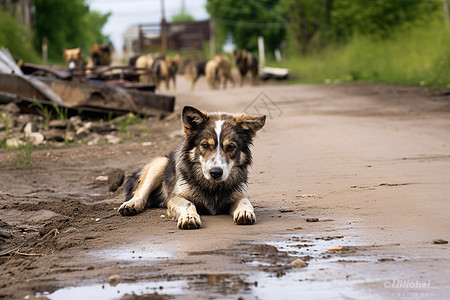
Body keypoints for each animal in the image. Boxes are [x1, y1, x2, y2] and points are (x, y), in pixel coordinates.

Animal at [119, 106, 268, 230]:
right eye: (205, 145)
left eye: (231, 147)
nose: (216, 172)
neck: (213, 187)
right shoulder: (175, 197)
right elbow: (188, 204)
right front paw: (189, 217)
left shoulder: (240, 193)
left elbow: (245, 201)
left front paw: (245, 211)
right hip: (159, 164)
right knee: (140, 194)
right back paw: (131, 205)